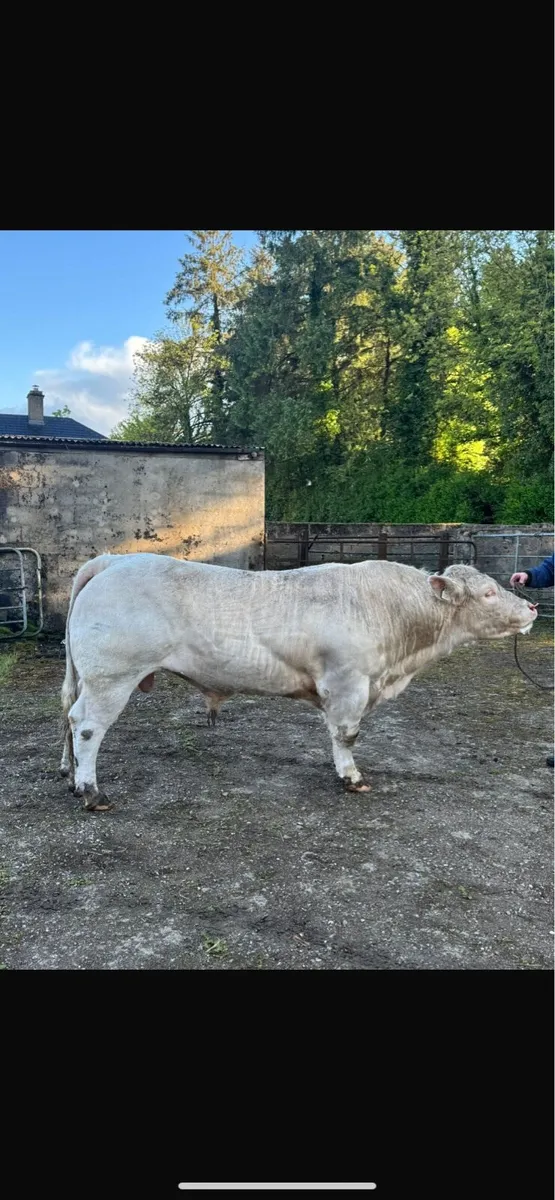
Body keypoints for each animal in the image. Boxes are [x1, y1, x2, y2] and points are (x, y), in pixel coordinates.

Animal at [59, 552, 537, 809]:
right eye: (489, 593)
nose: (532, 607)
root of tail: (115, 560)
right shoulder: (347, 683)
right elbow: (346, 735)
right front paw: (351, 776)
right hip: (111, 677)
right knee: (87, 727)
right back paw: (91, 791)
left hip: (90, 678)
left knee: (69, 715)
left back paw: (69, 775)